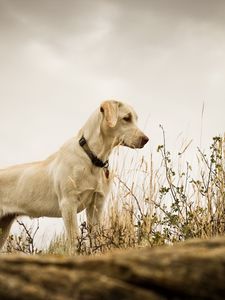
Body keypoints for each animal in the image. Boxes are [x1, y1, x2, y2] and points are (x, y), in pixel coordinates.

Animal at [0, 100, 149, 251]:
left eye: (135, 119)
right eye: (126, 118)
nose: (146, 139)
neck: (92, 158)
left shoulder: (97, 204)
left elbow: (95, 237)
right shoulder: (68, 204)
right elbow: (74, 240)